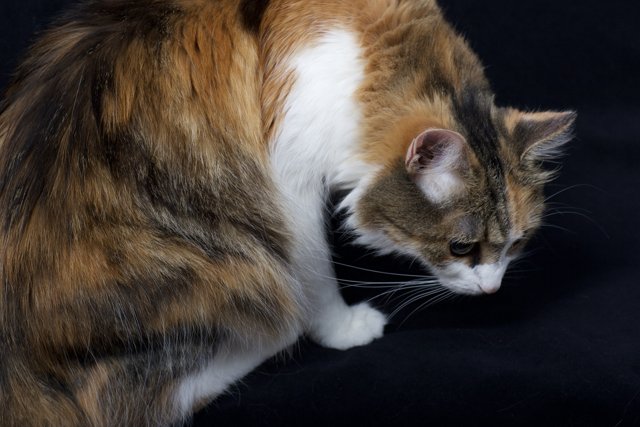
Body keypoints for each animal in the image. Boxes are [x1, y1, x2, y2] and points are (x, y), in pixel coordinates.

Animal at [0, 0, 576, 426]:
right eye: (461, 246)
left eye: (516, 243)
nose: (492, 290)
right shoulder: (290, 188)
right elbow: (317, 277)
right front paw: (343, 328)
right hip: (233, 274)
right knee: (142, 400)